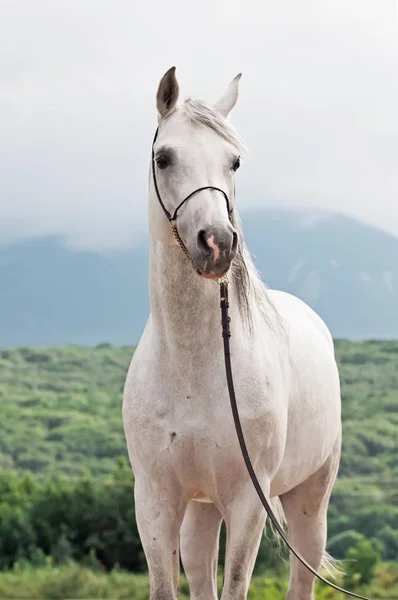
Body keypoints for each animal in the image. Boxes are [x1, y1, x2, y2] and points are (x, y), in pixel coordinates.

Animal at [123, 68, 340, 600]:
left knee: (302, 577)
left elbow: (237, 582)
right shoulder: (155, 501)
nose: (217, 243)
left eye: (234, 160)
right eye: (164, 157)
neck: (191, 365)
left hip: (309, 502)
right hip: (200, 511)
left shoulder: (246, 501)